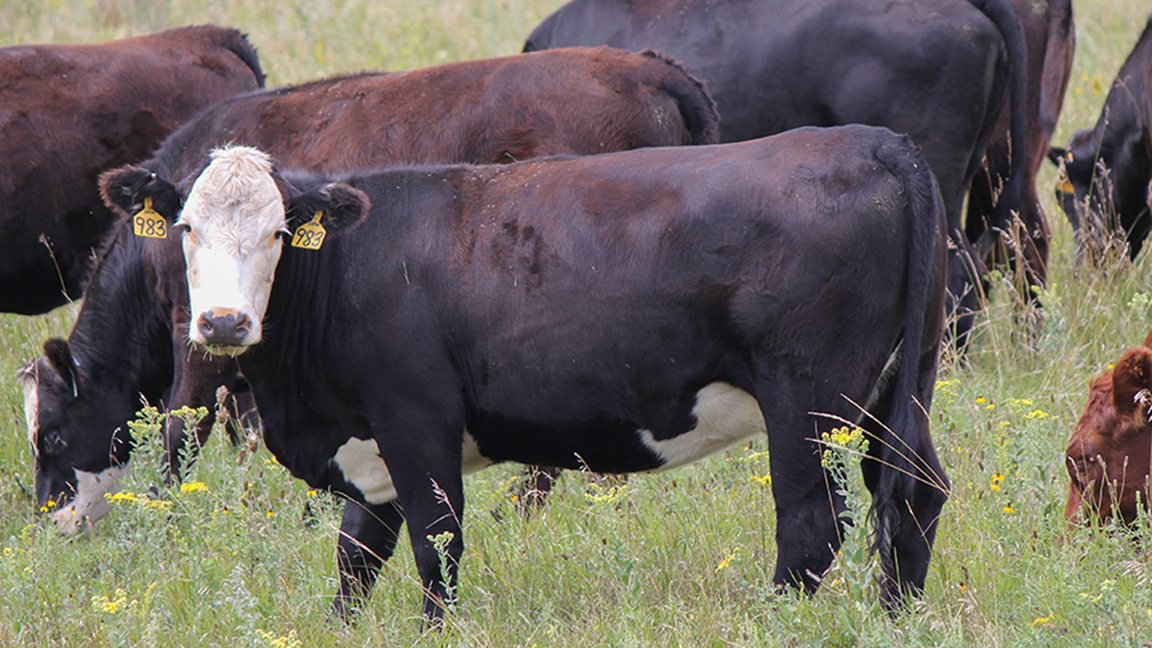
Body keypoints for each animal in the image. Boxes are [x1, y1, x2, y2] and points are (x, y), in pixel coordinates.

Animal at [19, 46, 720, 534]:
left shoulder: (198, 325)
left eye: (49, 436)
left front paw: (170, 517)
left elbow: (180, 429)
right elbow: (250, 430)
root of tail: (654, 68)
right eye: (187, 225)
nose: (53, 524)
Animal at [99, 126, 950, 621]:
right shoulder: (369, 446)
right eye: (185, 227)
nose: (223, 324)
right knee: (915, 495)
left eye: (279, 232)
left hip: (808, 403)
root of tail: (872, 140)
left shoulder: (416, 420)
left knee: (812, 523)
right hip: (896, 389)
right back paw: (897, 620)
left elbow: (435, 544)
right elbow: (356, 558)